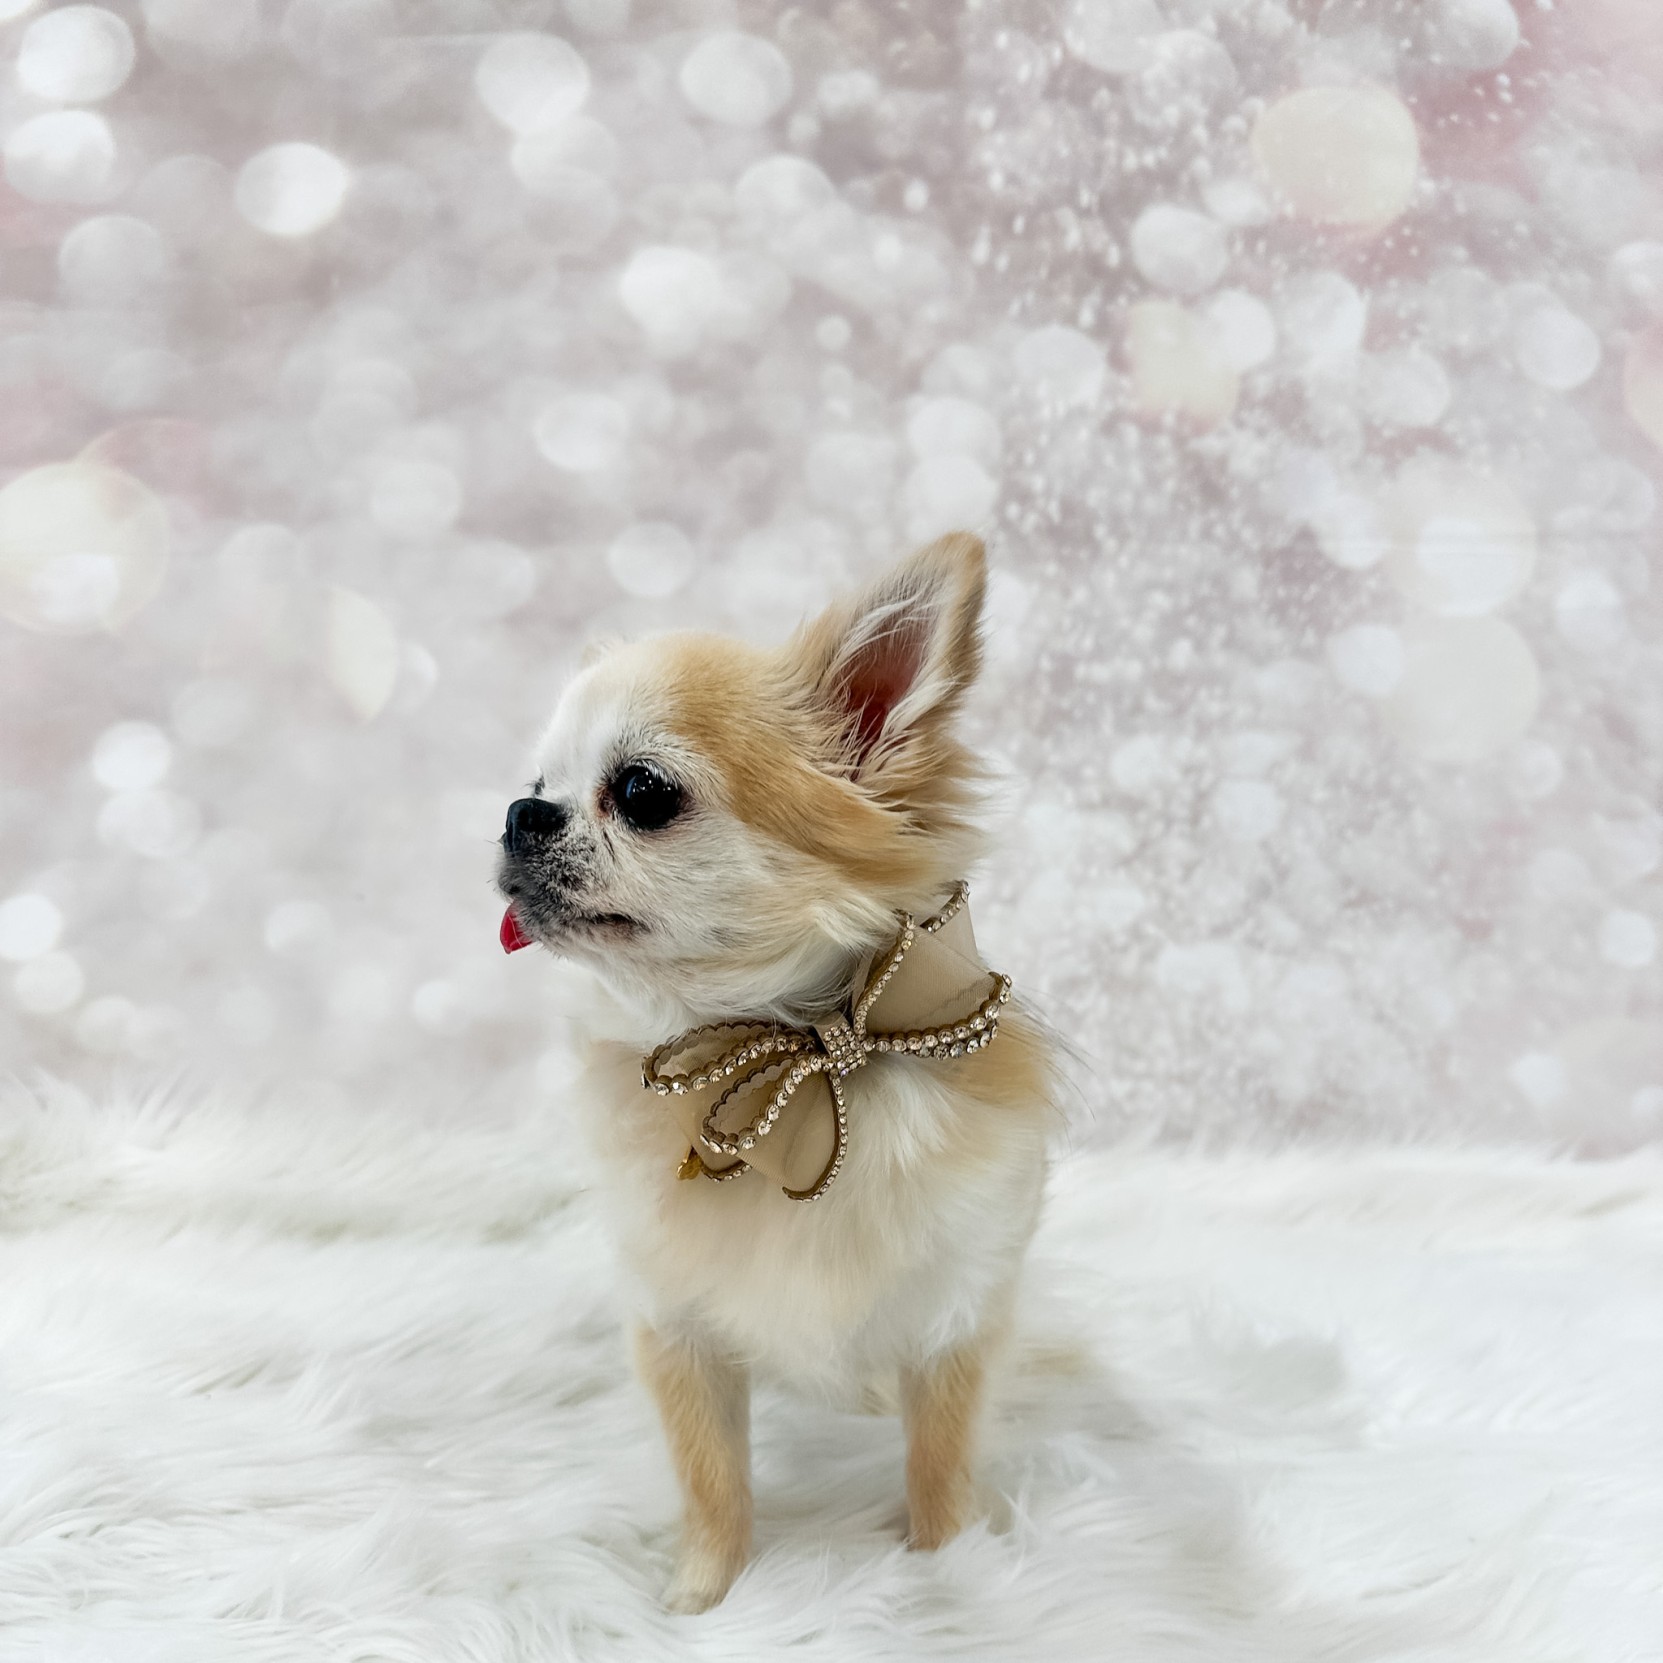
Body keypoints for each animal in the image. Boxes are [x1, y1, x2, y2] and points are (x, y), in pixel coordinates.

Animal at [496, 532, 1056, 1611]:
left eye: (641, 791)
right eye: (536, 776)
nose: (518, 812)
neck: (798, 1058)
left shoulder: (956, 1317)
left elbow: (939, 1463)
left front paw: (946, 1574)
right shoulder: (676, 1327)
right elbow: (712, 1478)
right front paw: (702, 1599)